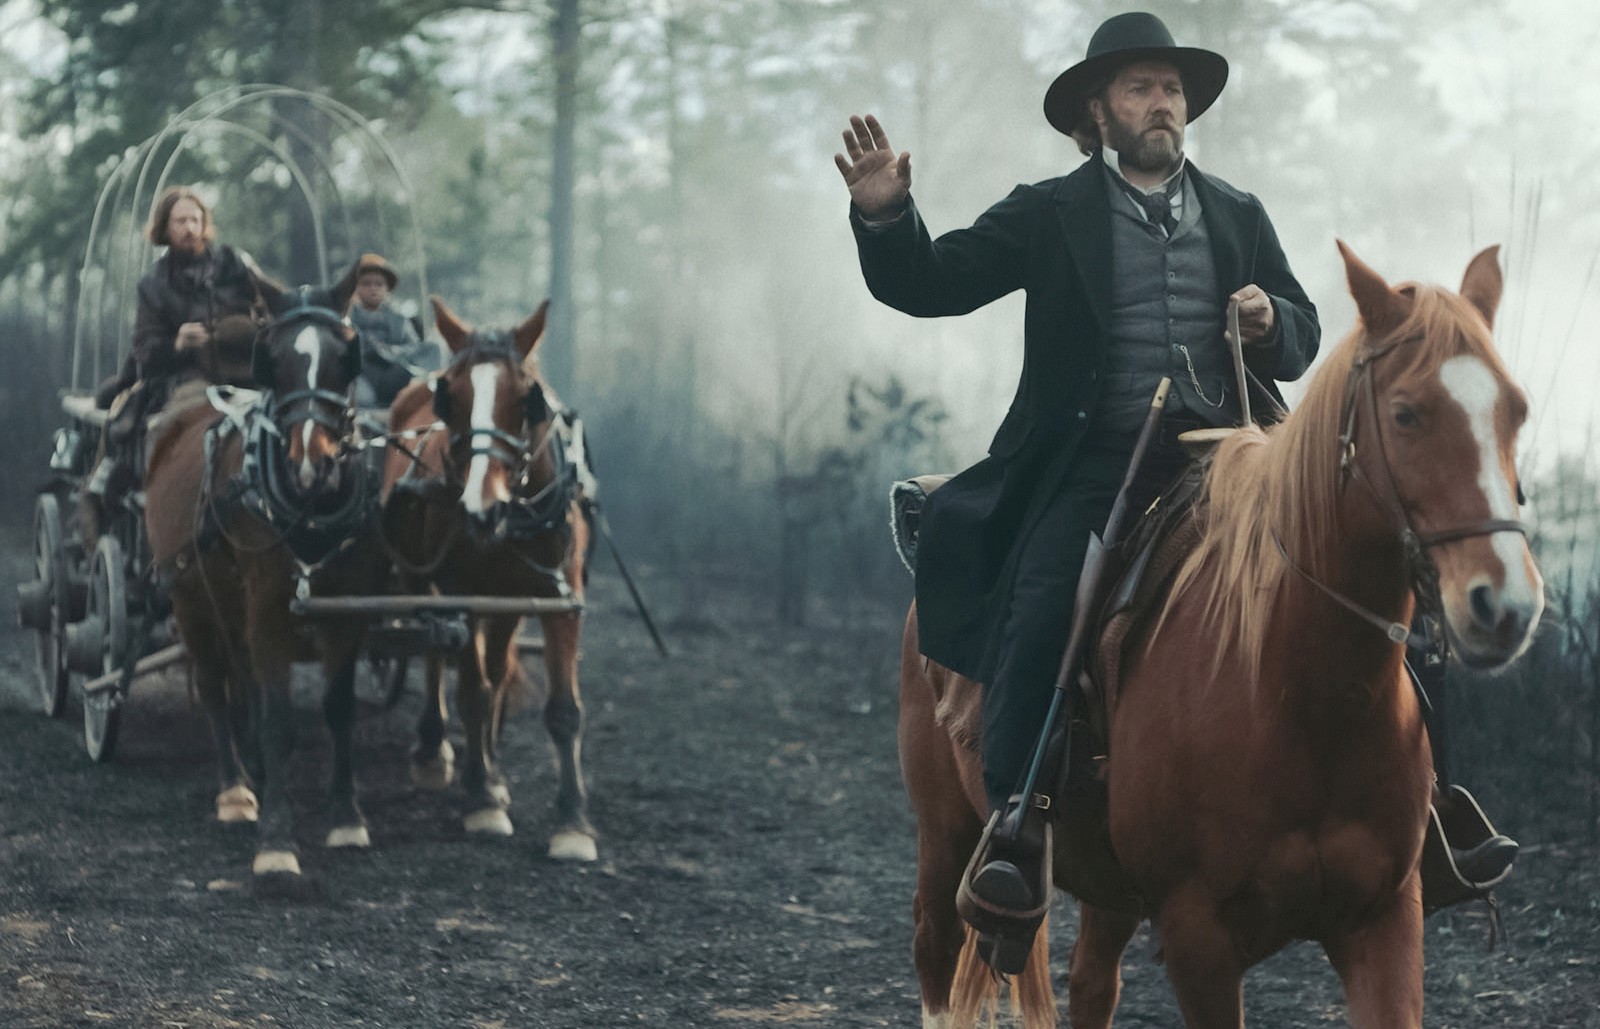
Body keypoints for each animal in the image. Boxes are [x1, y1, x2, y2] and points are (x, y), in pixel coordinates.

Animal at [148, 264, 392, 876]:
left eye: (345, 356)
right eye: (274, 359)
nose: (312, 462)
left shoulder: (346, 605)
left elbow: (337, 708)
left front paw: (346, 817)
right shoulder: (269, 605)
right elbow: (280, 716)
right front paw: (278, 842)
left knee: (241, 677)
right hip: (191, 596)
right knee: (216, 680)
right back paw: (235, 788)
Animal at [382, 296, 601, 864]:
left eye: (528, 401)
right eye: (451, 398)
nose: (482, 510)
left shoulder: (561, 597)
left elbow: (563, 709)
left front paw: (573, 820)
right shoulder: (463, 592)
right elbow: (473, 693)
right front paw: (480, 798)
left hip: (508, 598)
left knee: (497, 666)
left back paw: (495, 768)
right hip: (425, 582)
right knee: (435, 653)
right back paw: (434, 748)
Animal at [902, 243, 1536, 1029]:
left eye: (1515, 410)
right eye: (1407, 413)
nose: (1504, 604)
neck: (1298, 689)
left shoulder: (1383, 920)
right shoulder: (1198, 937)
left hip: (1108, 888)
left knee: (1092, 982)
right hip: (945, 831)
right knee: (936, 949)